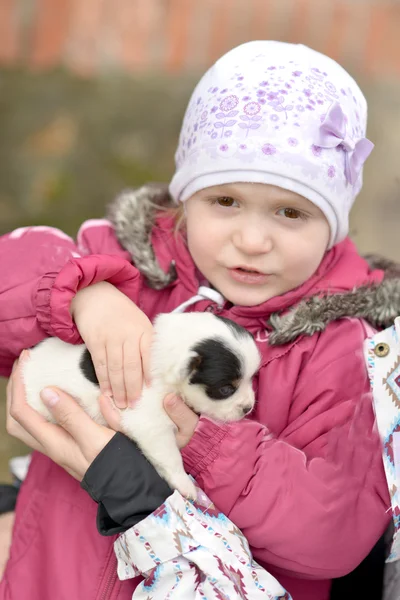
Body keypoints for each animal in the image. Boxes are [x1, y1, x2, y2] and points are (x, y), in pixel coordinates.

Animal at [21, 312, 260, 500]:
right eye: (226, 389)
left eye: (252, 379)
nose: (248, 408)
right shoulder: (151, 424)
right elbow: (170, 456)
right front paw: (184, 484)